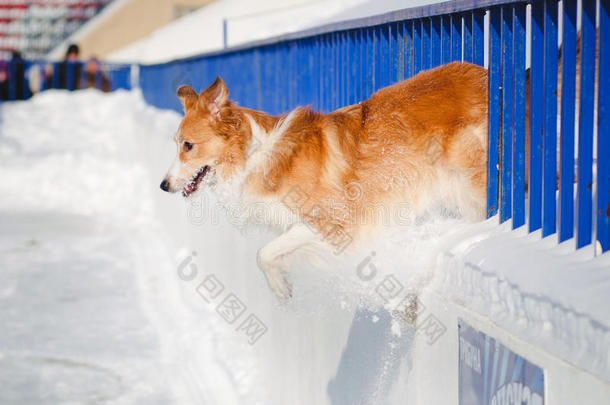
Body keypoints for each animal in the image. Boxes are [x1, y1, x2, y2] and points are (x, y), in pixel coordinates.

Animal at [159, 61, 486, 298]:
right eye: (176, 143)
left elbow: (264, 253)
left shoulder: (330, 220)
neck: (253, 155)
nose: (163, 186)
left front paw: (280, 286)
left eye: (188, 145)